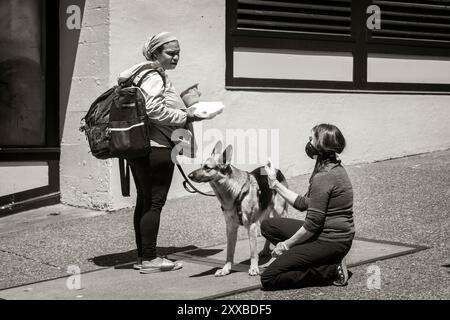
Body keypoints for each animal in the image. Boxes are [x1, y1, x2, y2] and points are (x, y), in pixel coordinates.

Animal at [187, 141, 288, 276]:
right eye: (201, 166)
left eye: (207, 167)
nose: (189, 176)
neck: (235, 192)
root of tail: (276, 170)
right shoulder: (230, 228)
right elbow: (229, 252)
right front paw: (226, 268)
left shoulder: (251, 226)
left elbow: (252, 252)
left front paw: (254, 268)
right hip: (263, 218)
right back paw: (265, 250)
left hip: (279, 212)